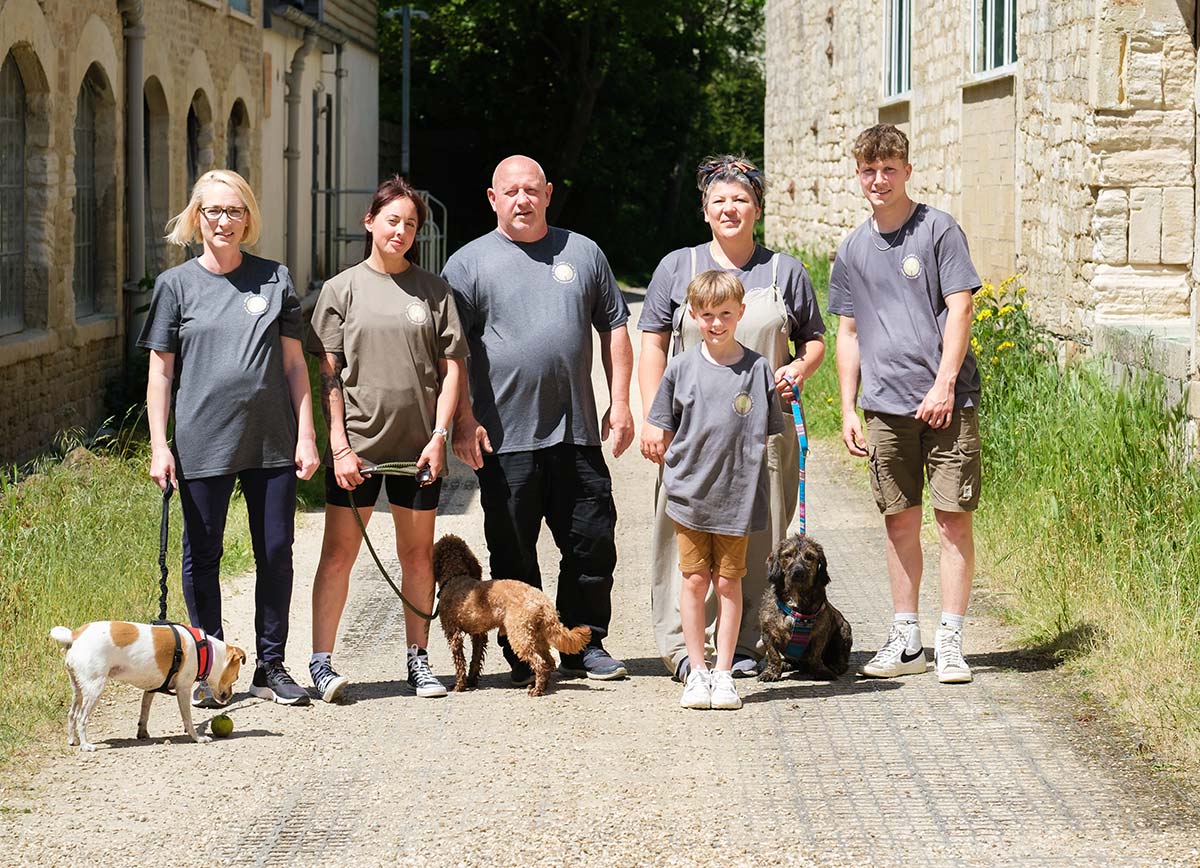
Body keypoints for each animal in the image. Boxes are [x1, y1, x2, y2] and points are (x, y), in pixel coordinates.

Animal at [432, 533, 590, 696]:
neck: (455, 577)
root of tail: (543, 603)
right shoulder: (478, 635)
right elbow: (475, 660)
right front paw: (471, 681)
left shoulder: (454, 634)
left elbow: (460, 663)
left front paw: (459, 686)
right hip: (537, 635)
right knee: (549, 662)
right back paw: (541, 686)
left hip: (519, 635)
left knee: (540, 663)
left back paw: (536, 690)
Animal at [758, 533, 854, 681]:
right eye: (787, 555)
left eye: (810, 557)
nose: (798, 572)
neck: (796, 600)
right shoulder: (768, 632)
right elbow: (773, 655)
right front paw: (771, 672)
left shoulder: (820, 634)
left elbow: (815, 654)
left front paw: (820, 671)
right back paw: (786, 664)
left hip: (844, 629)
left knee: (841, 658)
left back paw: (836, 665)